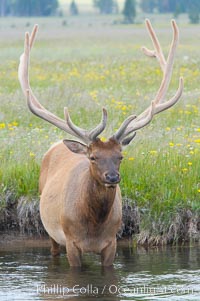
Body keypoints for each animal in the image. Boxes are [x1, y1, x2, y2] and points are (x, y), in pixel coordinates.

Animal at [18, 20, 183, 264]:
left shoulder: (111, 242)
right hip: (50, 230)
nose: (112, 177)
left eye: (120, 156)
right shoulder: (71, 242)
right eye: (93, 157)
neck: (93, 227)